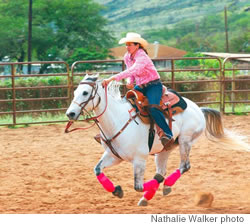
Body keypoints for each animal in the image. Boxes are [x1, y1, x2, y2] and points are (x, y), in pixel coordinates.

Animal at [65, 75, 247, 206]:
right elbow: (97, 170)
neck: (118, 120)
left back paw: (164, 187)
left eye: (85, 93)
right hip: (165, 149)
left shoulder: (139, 159)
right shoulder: (114, 156)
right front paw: (116, 190)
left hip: (185, 141)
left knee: (184, 166)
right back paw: (154, 193)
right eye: (75, 92)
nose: (70, 114)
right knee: (161, 173)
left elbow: (137, 186)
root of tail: (198, 109)